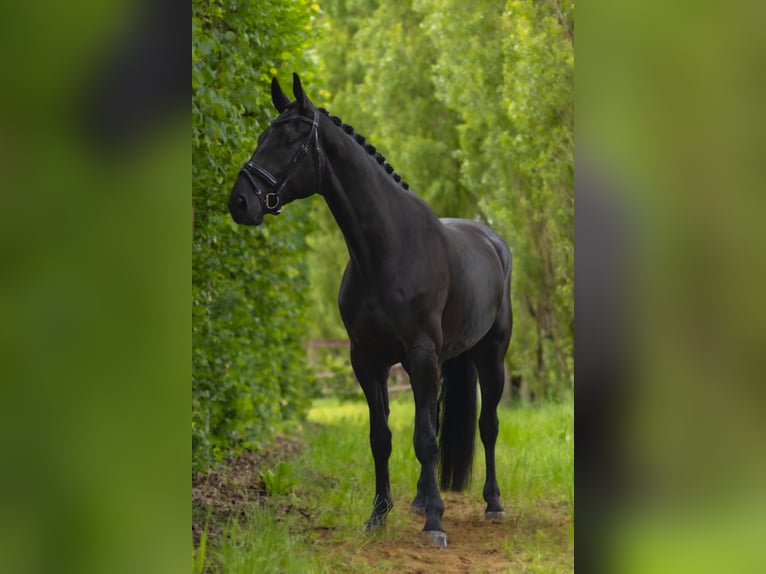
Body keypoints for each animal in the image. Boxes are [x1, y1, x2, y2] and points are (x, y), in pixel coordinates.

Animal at [230, 73, 516, 548]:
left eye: (289, 140)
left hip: (490, 357)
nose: (240, 202)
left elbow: (424, 439)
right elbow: (382, 437)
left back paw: (492, 504)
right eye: (260, 138)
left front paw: (434, 524)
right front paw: (379, 514)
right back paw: (420, 498)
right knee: (436, 420)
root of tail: (493, 242)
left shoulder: (419, 356)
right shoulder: (367, 359)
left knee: (487, 425)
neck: (385, 251)